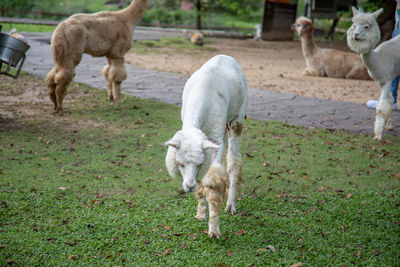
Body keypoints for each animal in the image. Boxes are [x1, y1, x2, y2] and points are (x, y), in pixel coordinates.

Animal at [163, 54, 247, 239]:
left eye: (199, 164)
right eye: (180, 164)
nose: (189, 186)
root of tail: (227, 57)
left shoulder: (215, 138)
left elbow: (213, 180)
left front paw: (214, 229)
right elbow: (204, 178)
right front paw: (201, 212)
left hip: (237, 119)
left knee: (233, 161)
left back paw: (231, 204)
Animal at [346, 6, 400, 140]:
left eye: (366, 26)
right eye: (354, 25)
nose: (355, 35)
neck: (378, 58)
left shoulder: (387, 79)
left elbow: (380, 108)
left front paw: (378, 135)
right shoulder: (380, 80)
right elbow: (390, 100)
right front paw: (388, 125)